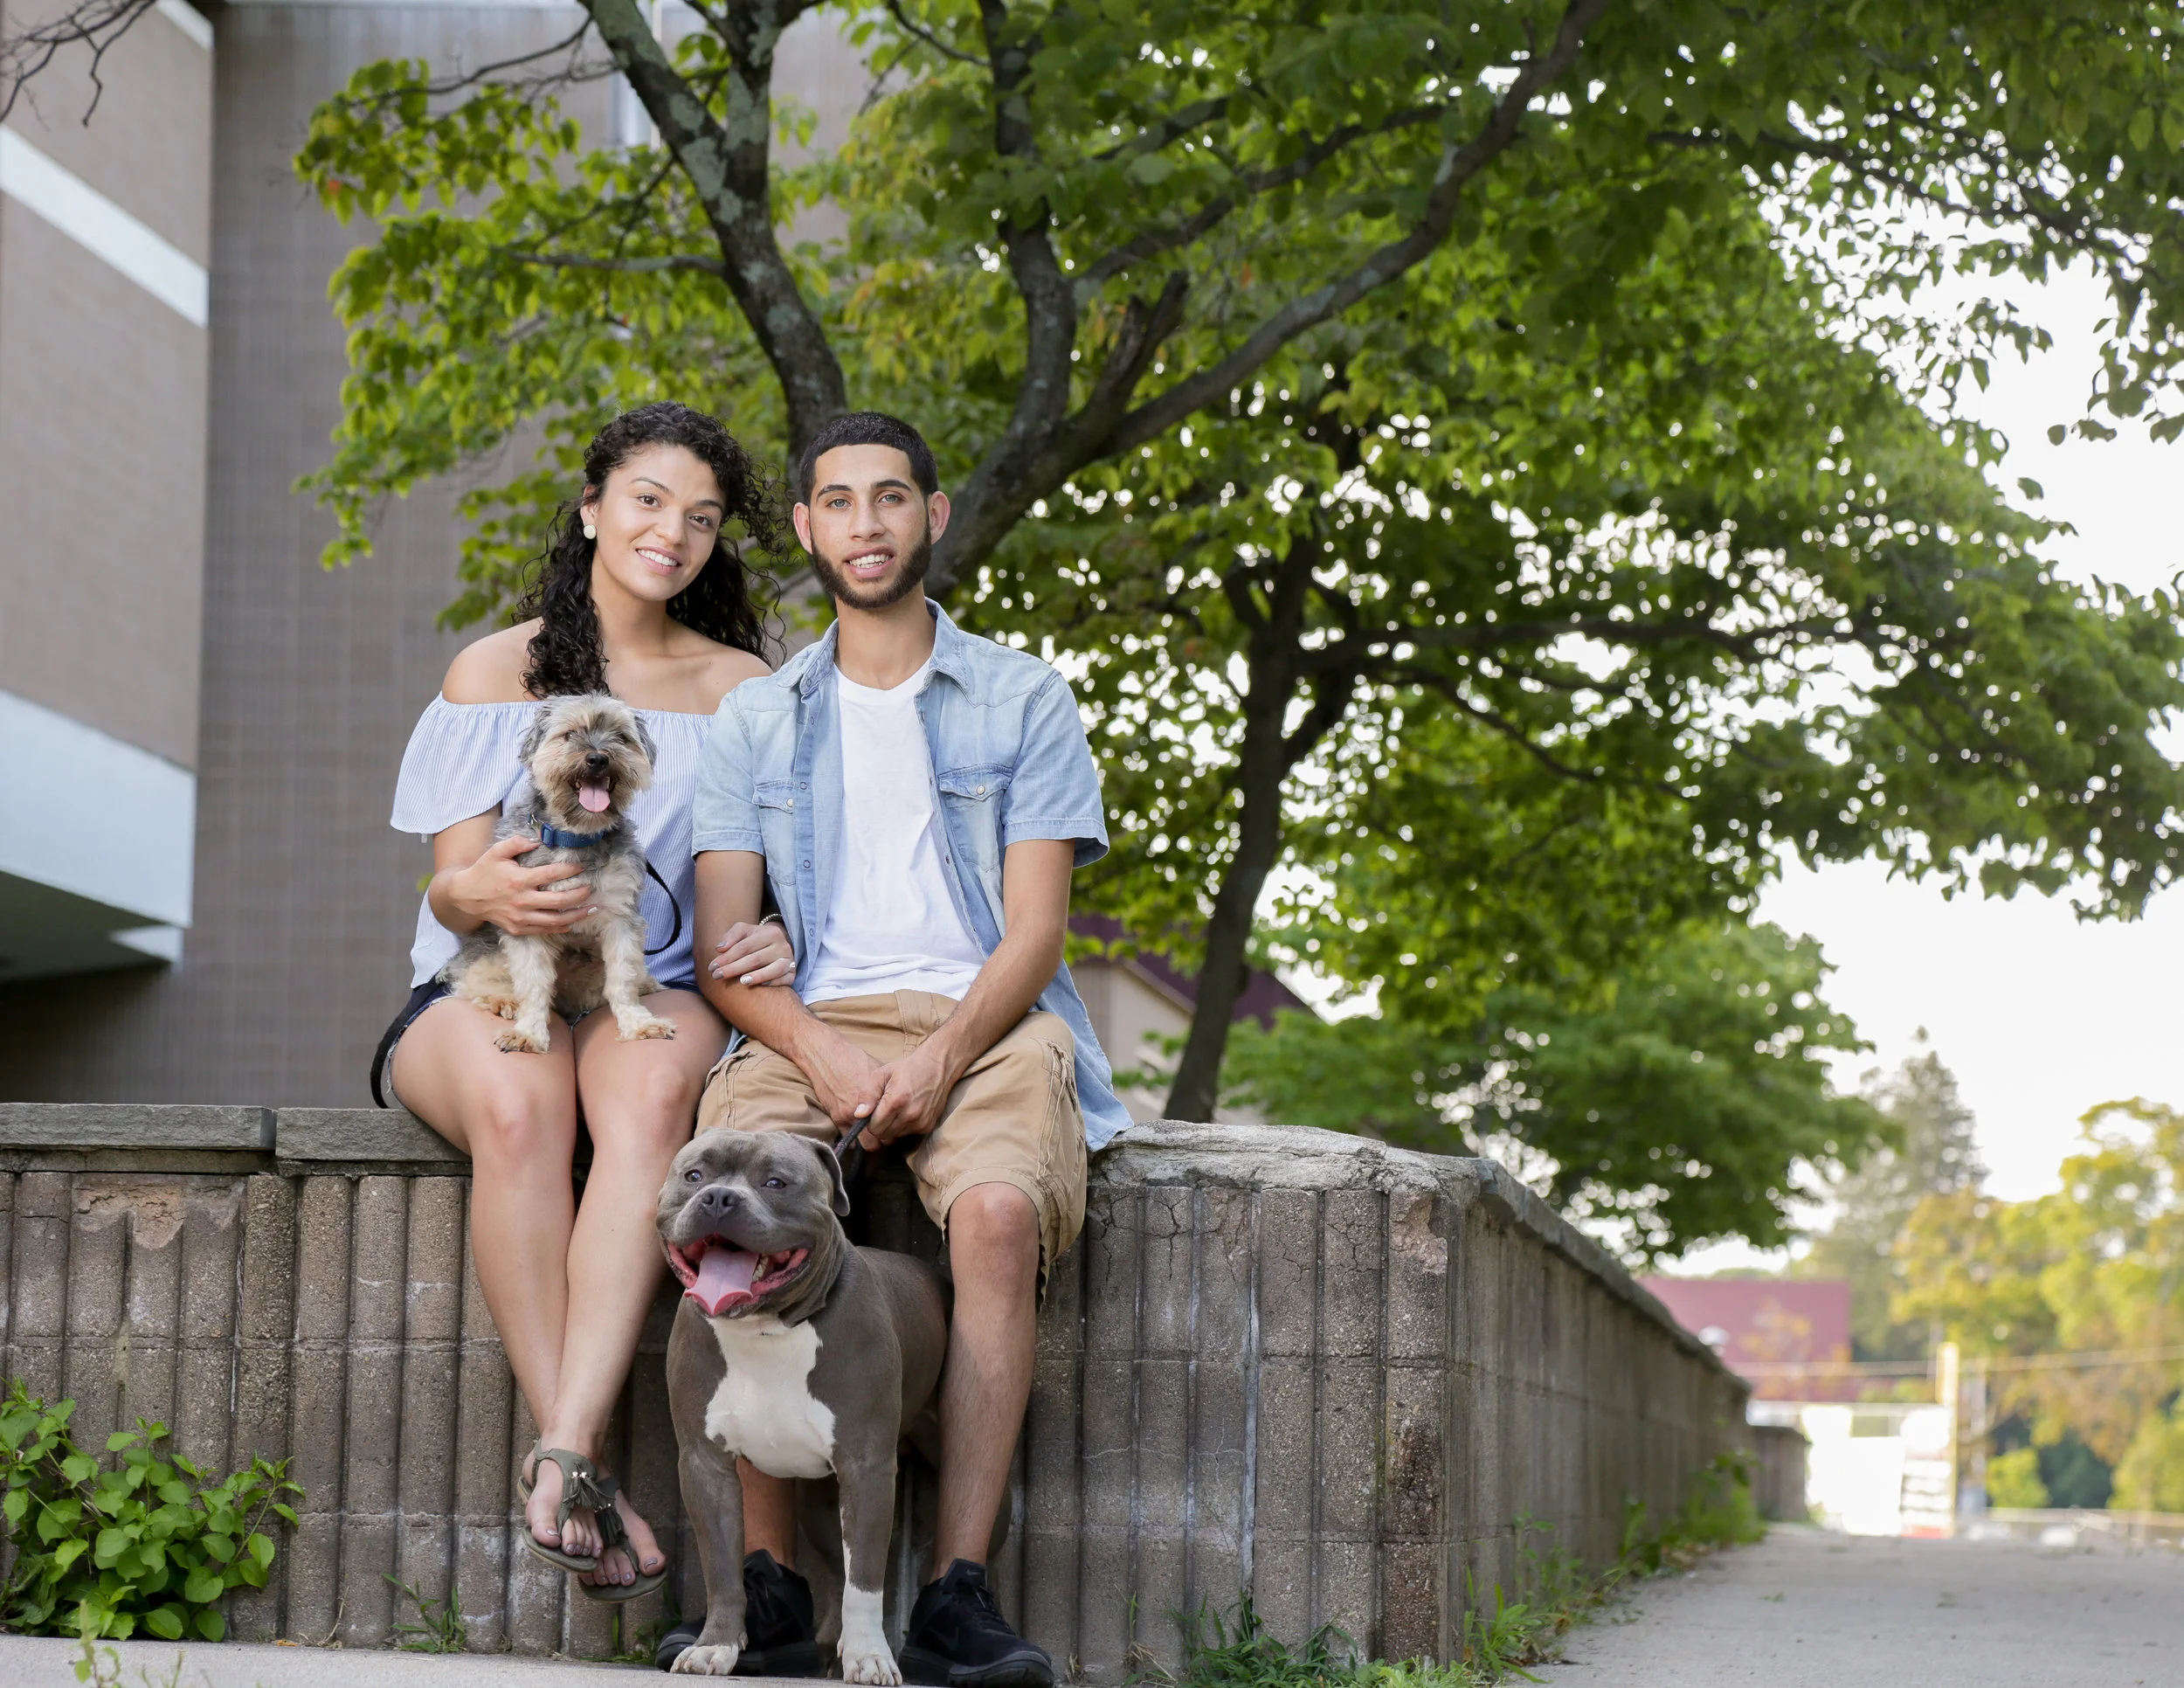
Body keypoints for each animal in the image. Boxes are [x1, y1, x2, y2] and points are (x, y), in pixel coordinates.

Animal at [443, 693, 674, 1054]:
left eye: (621, 737)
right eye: (569, 734)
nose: (598, 758)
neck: (575, 836)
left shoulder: (620, 917)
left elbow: (622, 979)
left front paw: (638, 1023)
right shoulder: (526, 922)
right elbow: (533, 984)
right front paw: (529, 1033)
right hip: (487, 956)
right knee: (476, 982)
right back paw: (502, 1000)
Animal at [659, 1130, 948, 1682]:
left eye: (776, 1182)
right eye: (694, 1175)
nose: (718, 1198)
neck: (765, 1329)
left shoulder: (867, 1467)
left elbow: (866, 1579)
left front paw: (870, 1656)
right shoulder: (704, 1466)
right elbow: (721, 1568)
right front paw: (715, 1646)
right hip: (819, 1506)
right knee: (832, 1572)